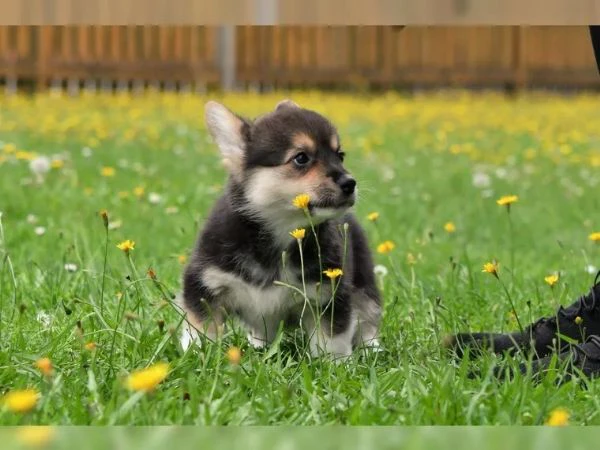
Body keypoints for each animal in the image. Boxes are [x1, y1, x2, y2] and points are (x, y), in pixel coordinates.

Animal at [180, 99, 382, 358]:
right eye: (301, 158)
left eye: (340, 155)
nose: (350, 183)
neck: (278, 233)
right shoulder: (204, 285)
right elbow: (201, 330)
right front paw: (197, 354)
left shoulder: (329, 295)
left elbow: (332, 340)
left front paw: (336, 364)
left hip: (364, 284)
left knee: (368, 317)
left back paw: (372, 349)